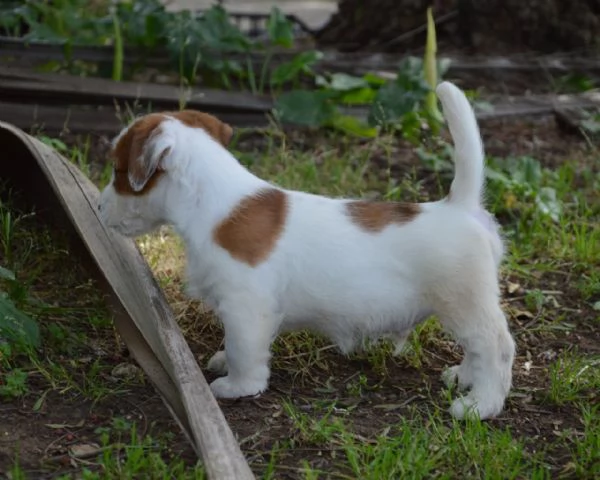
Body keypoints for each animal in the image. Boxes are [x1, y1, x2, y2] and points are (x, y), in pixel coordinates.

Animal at [98, 82, 516, 420]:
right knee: (477, 349)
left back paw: (480, 405)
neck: (215, 202)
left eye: (118, 172)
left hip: (464, 304)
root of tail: (460, 206)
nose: (100, 209)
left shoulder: (245, 308)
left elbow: (243, 350)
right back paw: (464, 377)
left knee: (496, 346)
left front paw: (238, 385)